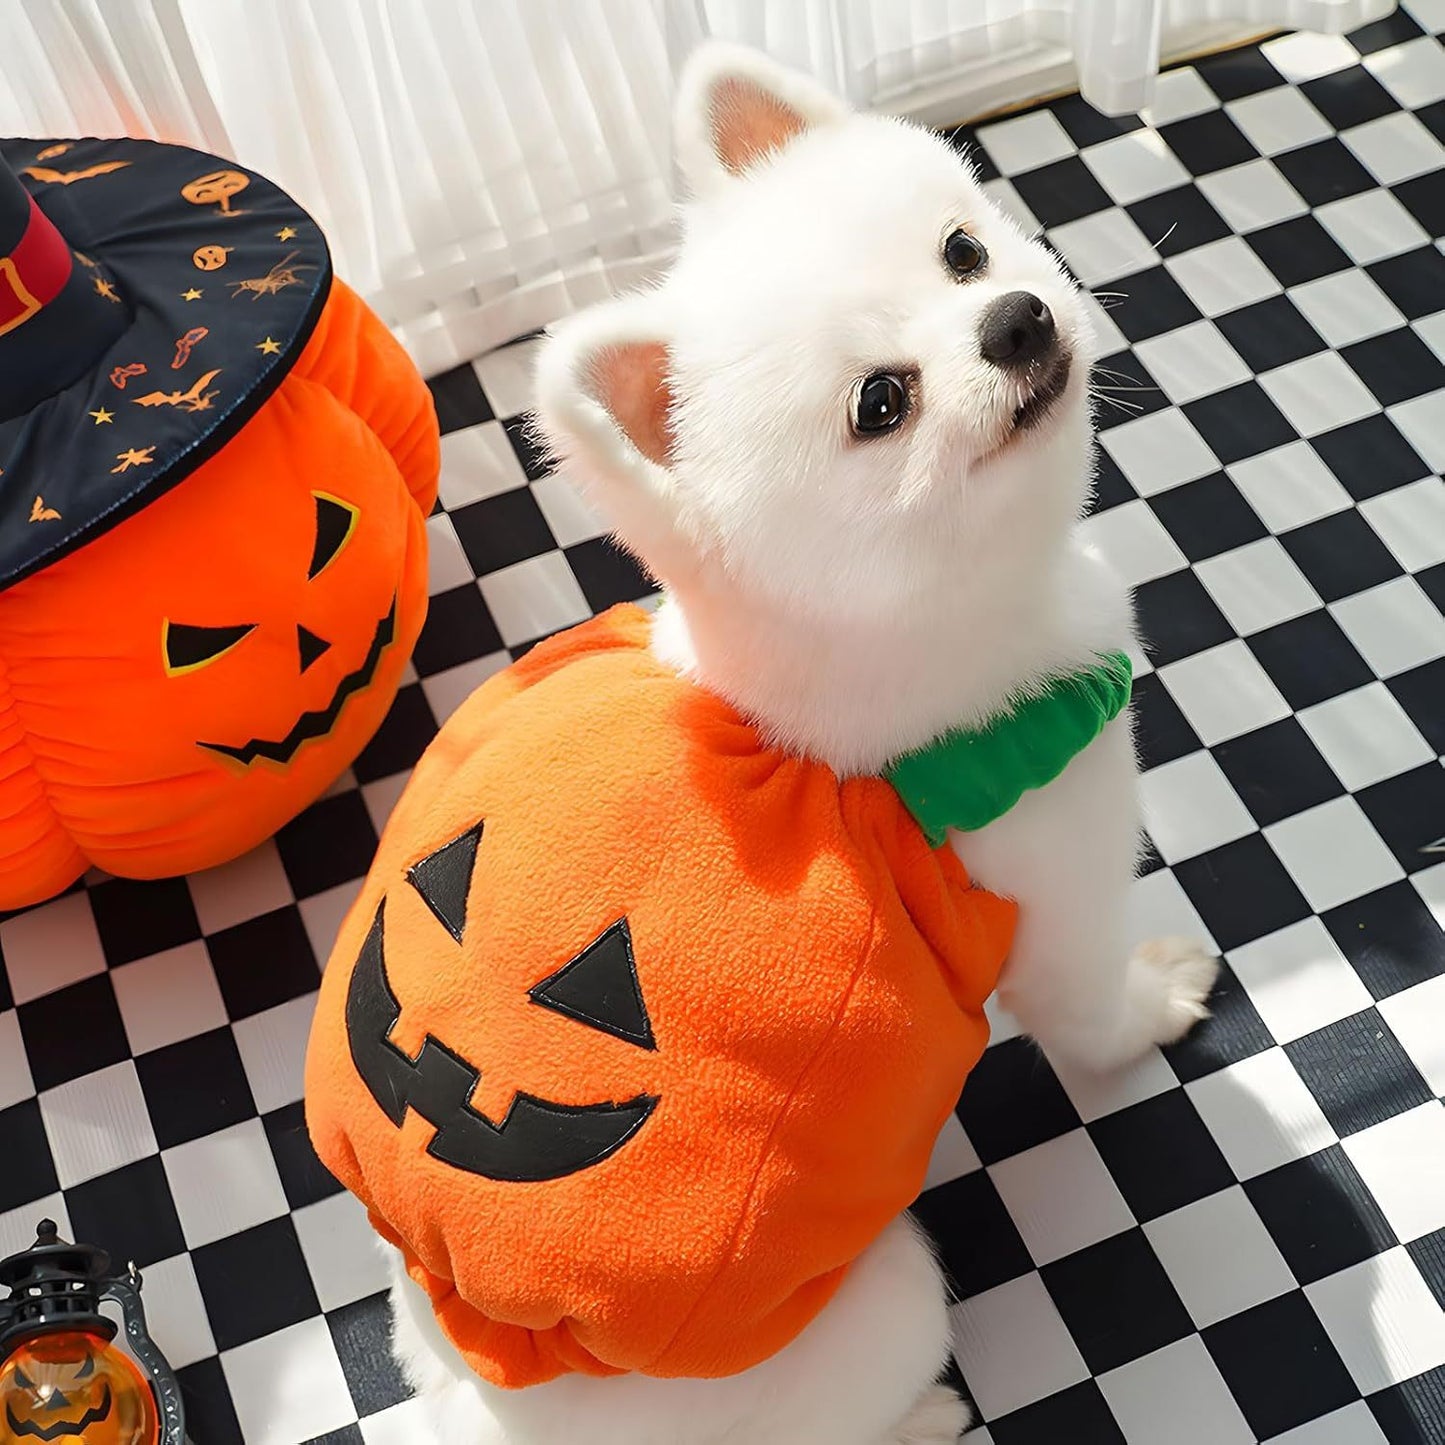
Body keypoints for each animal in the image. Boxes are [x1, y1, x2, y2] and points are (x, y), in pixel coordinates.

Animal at [387, 39, 1219, 1439]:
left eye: (958, 251)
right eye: (881, 402)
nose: (1012, 319)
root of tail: (483, 1383)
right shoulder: (1049, 880)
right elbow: (1091, 1011)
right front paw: (1154, 1001)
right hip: (883, 1297)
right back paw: (923, 1413)